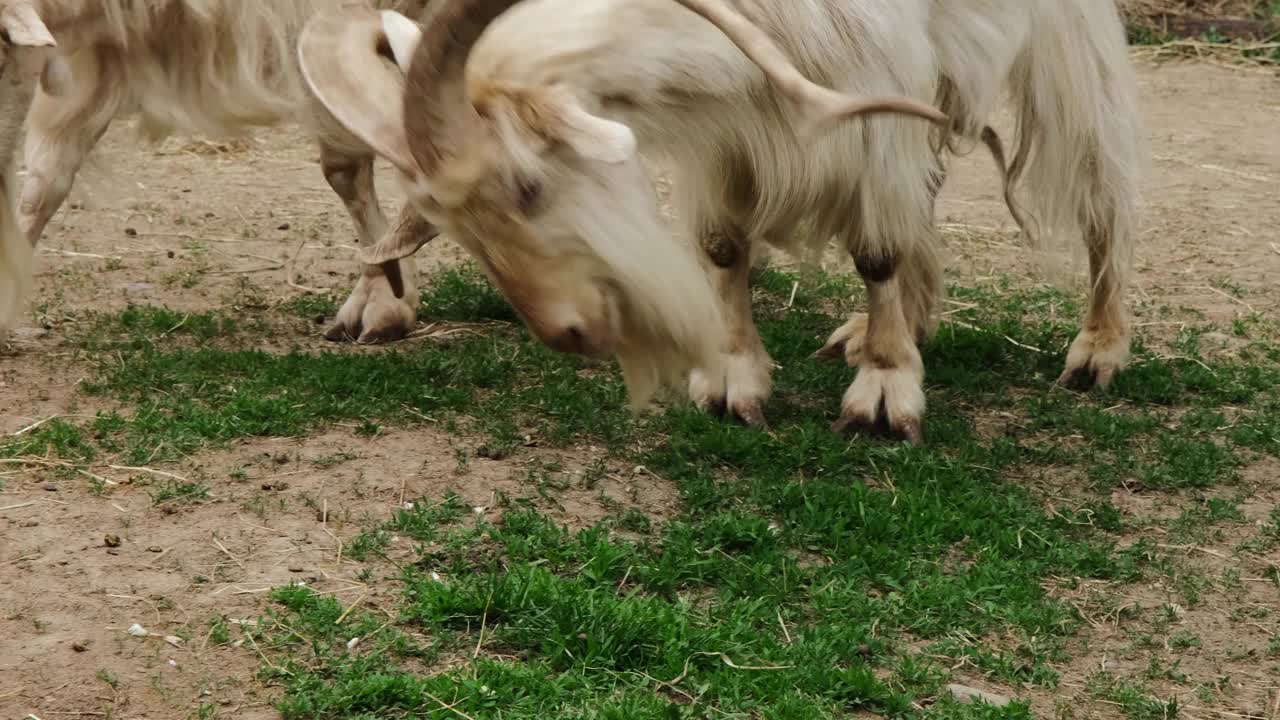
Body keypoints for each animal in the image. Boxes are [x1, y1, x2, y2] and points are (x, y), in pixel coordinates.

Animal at [299, 0, 1141, 438]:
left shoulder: (870, 85)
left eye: (529, 186)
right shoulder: (727, 126)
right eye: (455, 225)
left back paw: (1096, 350)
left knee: (1100, 175)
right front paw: (735, 381)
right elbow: (722, 244)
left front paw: (884, 391)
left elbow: (875, 248)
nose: (569, 334)